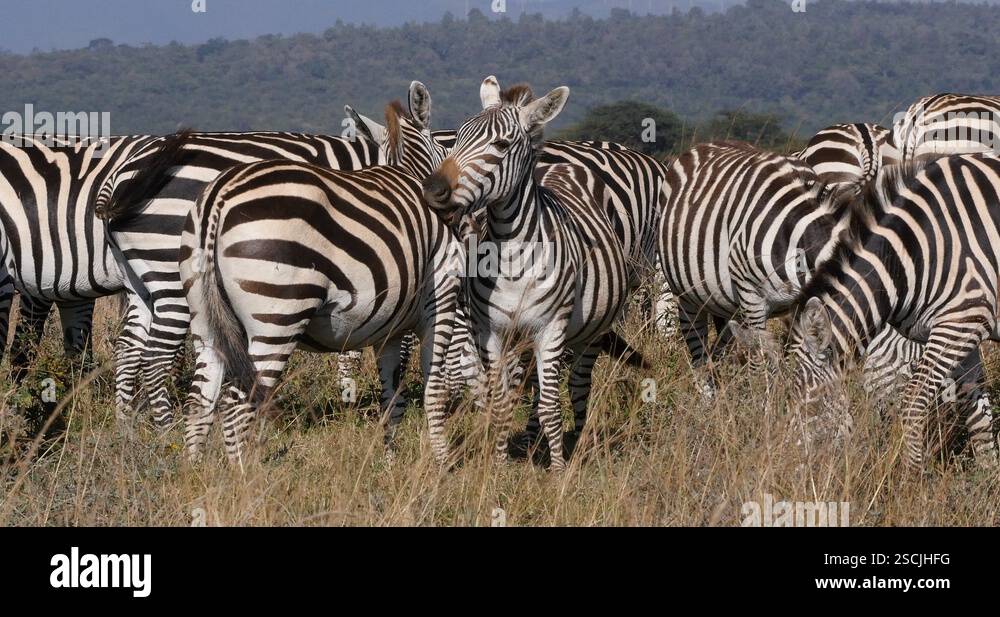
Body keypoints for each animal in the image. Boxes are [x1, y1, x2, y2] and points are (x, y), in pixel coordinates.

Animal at [170, 93, 462, 465]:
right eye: (445, 149)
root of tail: (218, 197)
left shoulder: (389, 328)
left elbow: (391, 399)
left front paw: (390, 462)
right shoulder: (440, 303)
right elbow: (433, 391)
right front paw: (442, 464)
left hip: (204, 316)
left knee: (200, 400)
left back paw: (196, 472)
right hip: (277, 314)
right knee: (237, 403)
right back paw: (244, 475)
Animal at [422, 76, 633, 470]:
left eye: (501, 145)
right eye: (457, 138)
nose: (432, 189)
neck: (513, 255)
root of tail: (565, 167)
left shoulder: (550, 328)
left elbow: (551, 406)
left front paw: (558, 471)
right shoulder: (492, 332)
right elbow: (503, 402)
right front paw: (500, 467)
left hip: (589, 334)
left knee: (576, 388)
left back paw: (576, 442)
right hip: (525, 339)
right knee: (531, 388)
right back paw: (533, 441)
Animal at [781, 154, 1000, 469]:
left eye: (814, 402)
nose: (789, 465)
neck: (914, 255)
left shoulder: (961, 321)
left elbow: (913, 400)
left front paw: (914, 475)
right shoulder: (963, 333)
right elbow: (977, 415)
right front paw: (988, 475)